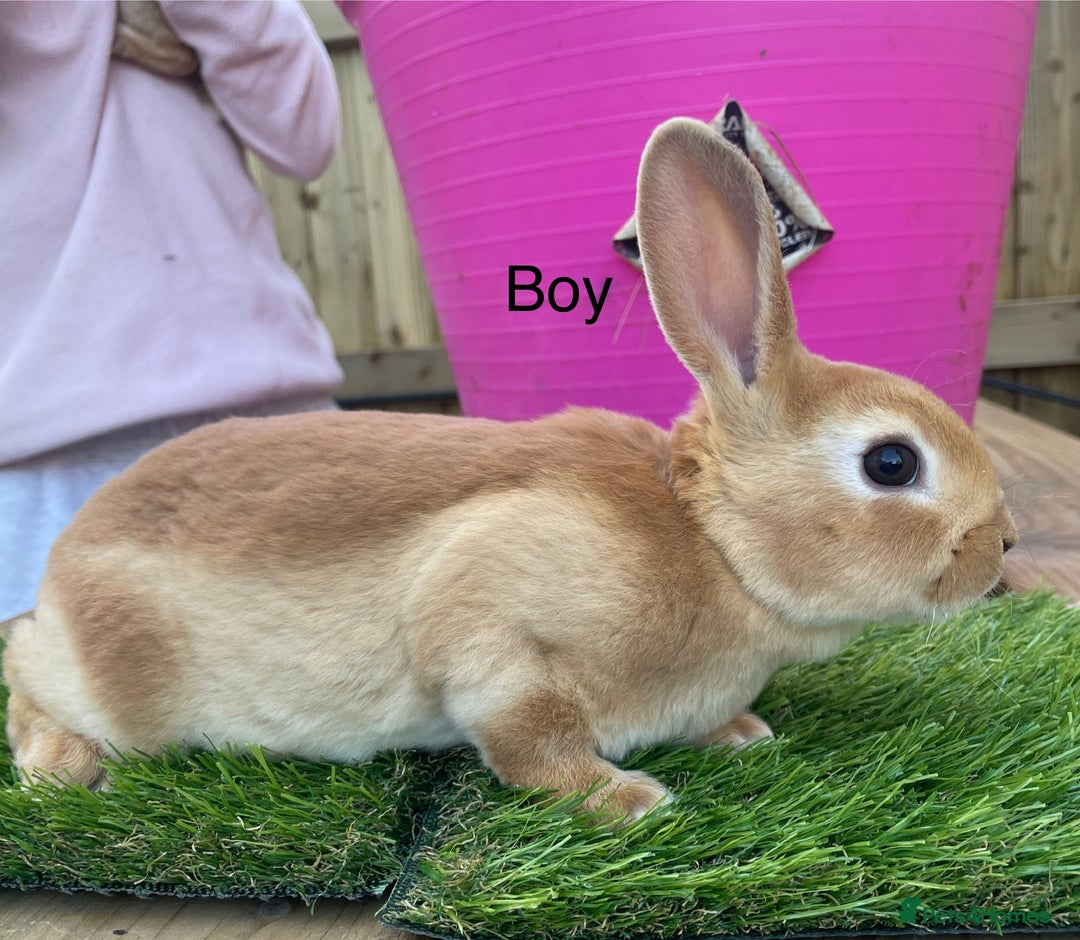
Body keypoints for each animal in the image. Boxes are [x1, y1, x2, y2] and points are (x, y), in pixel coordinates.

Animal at [4, 118, 1016, 822]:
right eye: (892, 463)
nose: (1003, 545)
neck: (711, 540)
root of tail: (62, 561)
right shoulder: (492, 629)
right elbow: (528, 737)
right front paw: (626, 798)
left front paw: (739, 733)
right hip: (114, 674)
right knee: (22, 666)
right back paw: (61, 769)